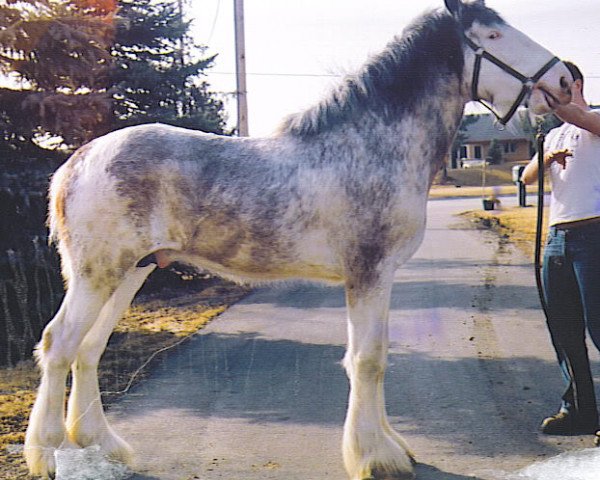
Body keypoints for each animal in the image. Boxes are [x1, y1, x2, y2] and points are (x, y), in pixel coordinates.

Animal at [25, 0, 572, 478]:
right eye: (493, 36)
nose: (565, 78)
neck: (371, 144)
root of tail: (80, 159)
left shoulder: (381, 276)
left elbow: (377, 356)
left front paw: (389, 445)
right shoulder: (367, 271)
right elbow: (366, 360)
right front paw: (376, 457)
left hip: (129, 272)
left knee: (89, 349)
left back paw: (103, 444)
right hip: (99, 274)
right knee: (58, 344)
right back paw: (46, 456)